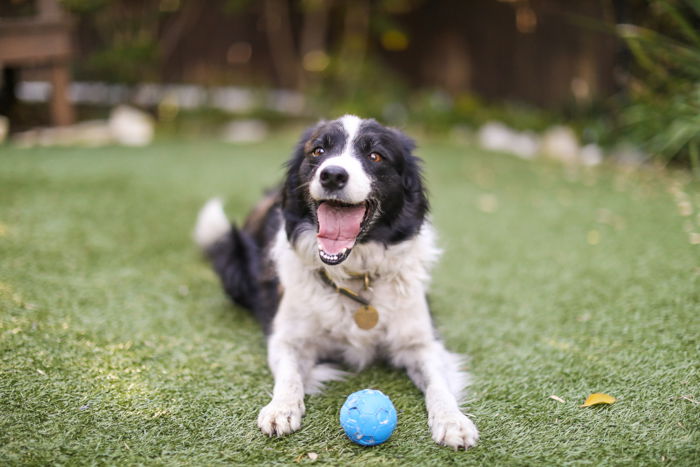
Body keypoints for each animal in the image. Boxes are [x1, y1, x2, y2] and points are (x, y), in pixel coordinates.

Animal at [197, 113, 482, 450]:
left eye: (376, 156)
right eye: (318, 151)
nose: (332, 175)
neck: (355, 276)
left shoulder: (421, 340)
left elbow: (439, 384)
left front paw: (453, 421)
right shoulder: (287, 337)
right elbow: (289, 376)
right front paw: (281, 409)